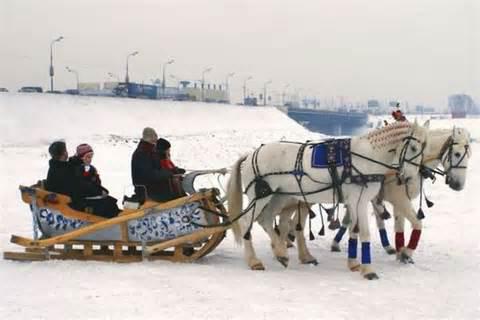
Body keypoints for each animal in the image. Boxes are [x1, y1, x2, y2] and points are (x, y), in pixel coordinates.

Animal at [227, 121, 430, 278]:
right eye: (413, 148)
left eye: (424, 149)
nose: (409, 177)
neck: (366, 157)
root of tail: (251, 154)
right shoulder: (359, 200)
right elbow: (364, 233)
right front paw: (368, 270)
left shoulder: (354, 202)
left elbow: (354, 230)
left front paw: (354, 263)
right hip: (261, 196)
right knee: (247, 222)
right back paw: (254, 260)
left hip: (279, 196)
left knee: (267, 219)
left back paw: (281, 252)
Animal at [330, 126, 472, 262]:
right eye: (457, 154)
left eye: (469, 155)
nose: (459, 185)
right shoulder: (400, 200)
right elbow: (417, 224)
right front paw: (406, 253)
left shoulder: (400, 202)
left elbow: (399, 228)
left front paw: (400, 252)